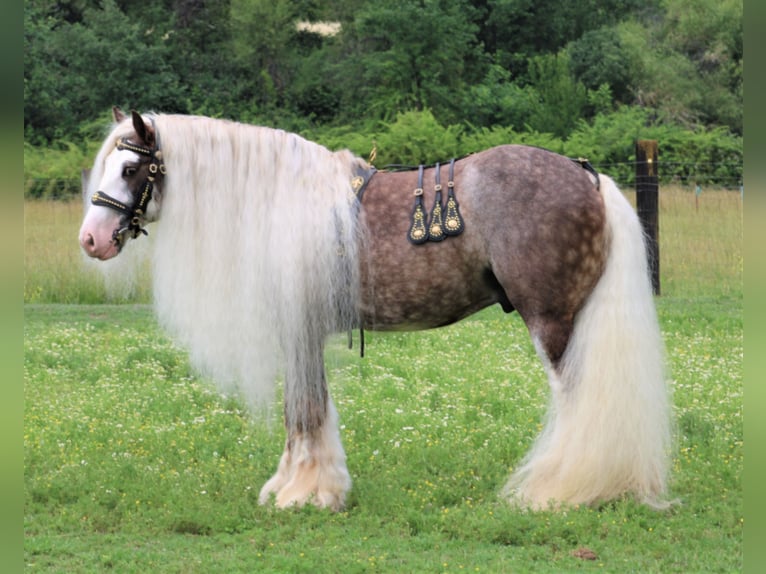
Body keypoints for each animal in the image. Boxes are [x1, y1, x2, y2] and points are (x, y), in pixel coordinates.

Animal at [81, 108, 676, 512]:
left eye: (131, 168)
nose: (92, 239)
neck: (281, 205)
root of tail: (587, 176)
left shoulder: (299, 329)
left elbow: (303, 411)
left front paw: (302, 494)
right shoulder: (305, 332)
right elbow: (308, 409)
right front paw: (308, 487)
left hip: (551, 320)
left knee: (577, 401)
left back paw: (561, 489)